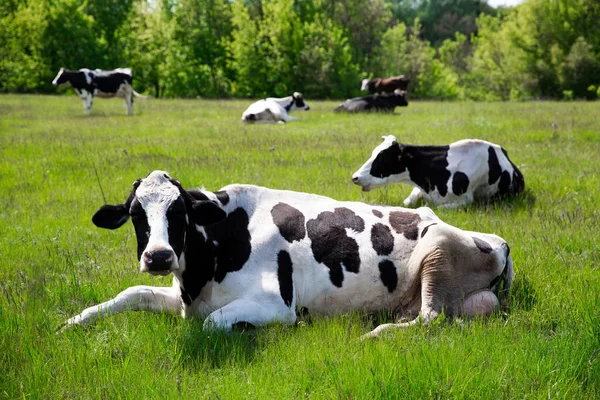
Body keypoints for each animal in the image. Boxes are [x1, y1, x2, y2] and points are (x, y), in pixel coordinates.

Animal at [63, 170, 516, 340]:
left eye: (181, 212)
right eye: (136, 214)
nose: (158, 256)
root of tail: (500, 240)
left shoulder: (276, 305)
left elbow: (212, 324)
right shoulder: (184, 294)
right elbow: (132, 293)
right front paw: (73, 321)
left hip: (436, 248)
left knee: (430, 317)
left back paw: (376, 333)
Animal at [352, 135, 524, 208]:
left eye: (382, 158)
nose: (355, 177)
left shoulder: (466, 199)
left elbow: (437, 208)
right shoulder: (419, 190)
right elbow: (407, 203)